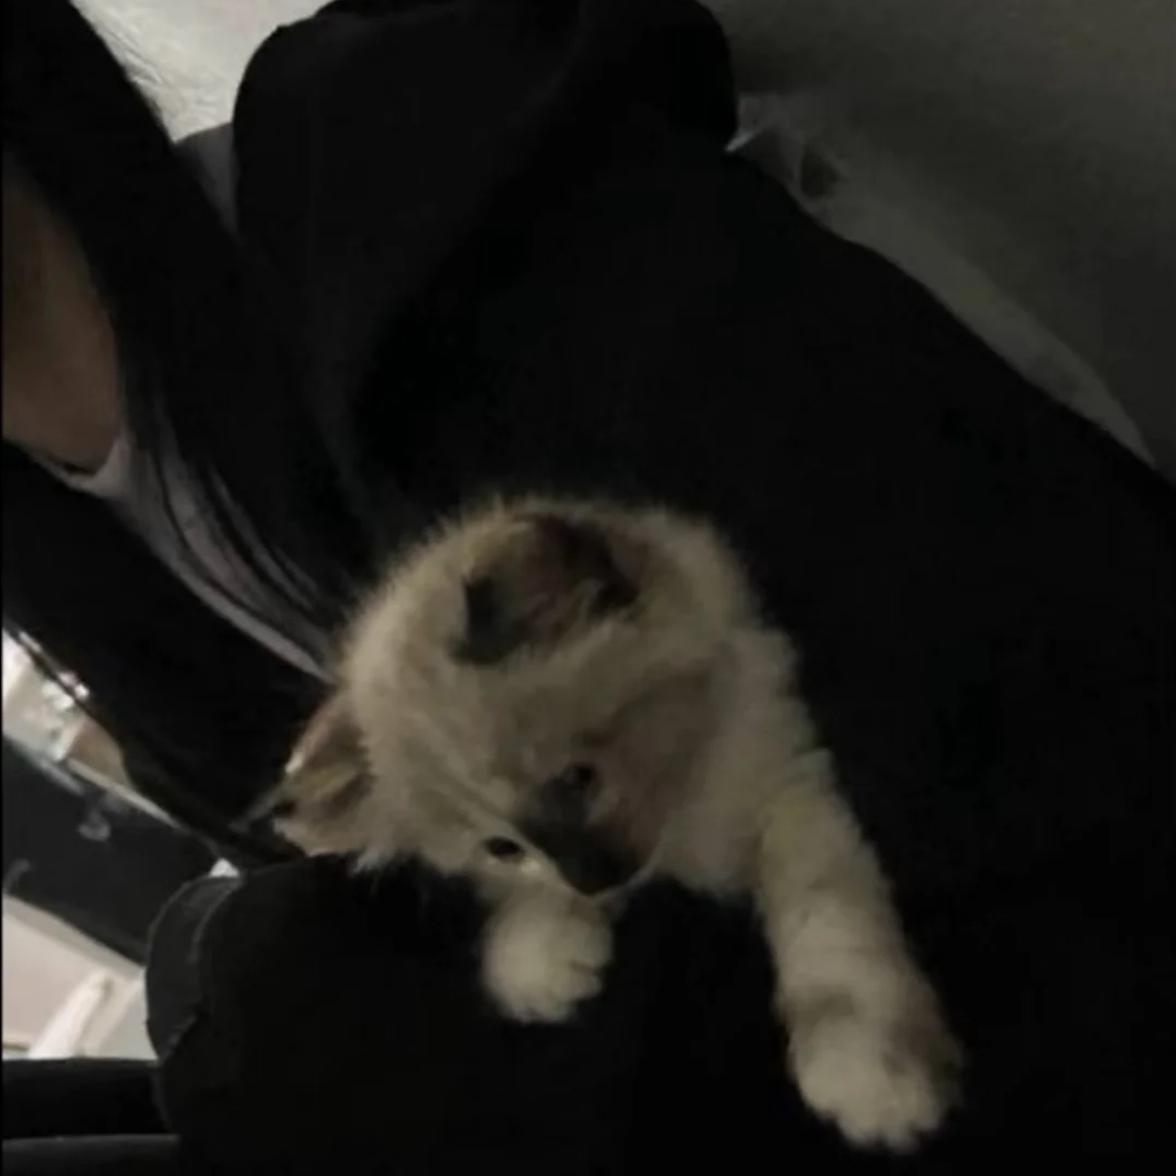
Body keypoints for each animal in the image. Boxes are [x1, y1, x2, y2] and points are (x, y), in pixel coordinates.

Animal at [265, 496, 962, 1151]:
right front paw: (541, 958)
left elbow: (828, 928)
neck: (685, 817)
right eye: (502, 848)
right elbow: (532, 910)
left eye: (579, 777)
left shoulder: (785, 786)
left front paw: (870, 1077)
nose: (596, 882)